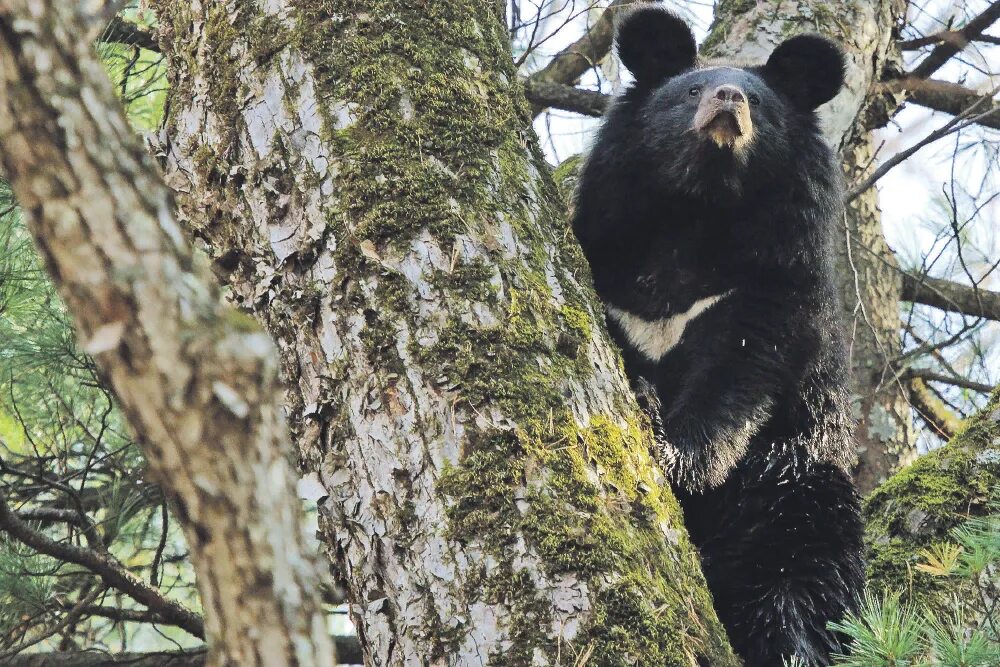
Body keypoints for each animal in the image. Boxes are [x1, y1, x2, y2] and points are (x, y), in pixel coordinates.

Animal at [572, 5, 868, 667]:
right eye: (691, 91)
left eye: (758, 100)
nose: (728, 100)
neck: (697, 212)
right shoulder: (612, 271)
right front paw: (647, 401)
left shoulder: (766, 291)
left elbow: (737, 380)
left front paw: (672, 454)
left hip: (796, 482)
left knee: (797, 584)